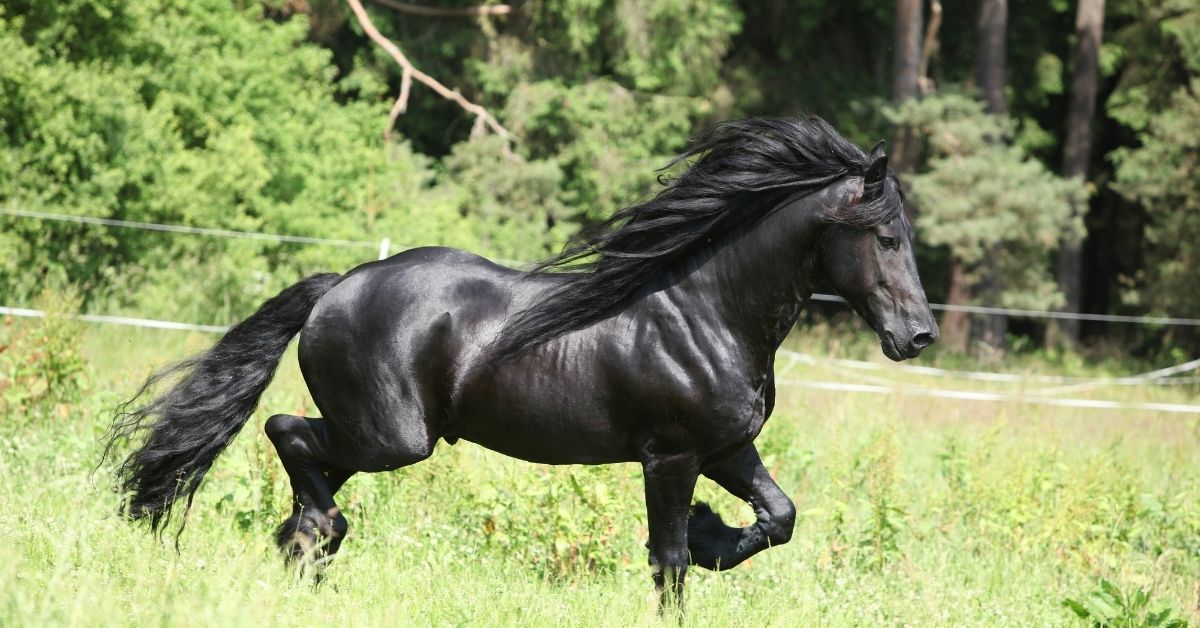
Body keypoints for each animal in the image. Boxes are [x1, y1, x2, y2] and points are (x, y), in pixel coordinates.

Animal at [105, 116, 936, 609]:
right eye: (886, 236)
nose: (919, 337)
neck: (705, 313)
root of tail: (337, 286)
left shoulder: (727, 449)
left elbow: (778, 518)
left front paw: (712, 535)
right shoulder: (670, 456)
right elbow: (667, 562)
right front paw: (697, 540)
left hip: (366, 437)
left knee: (302, 467)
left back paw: (307, 550)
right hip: (392, 437)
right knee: (285, 429)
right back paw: (323, 533)